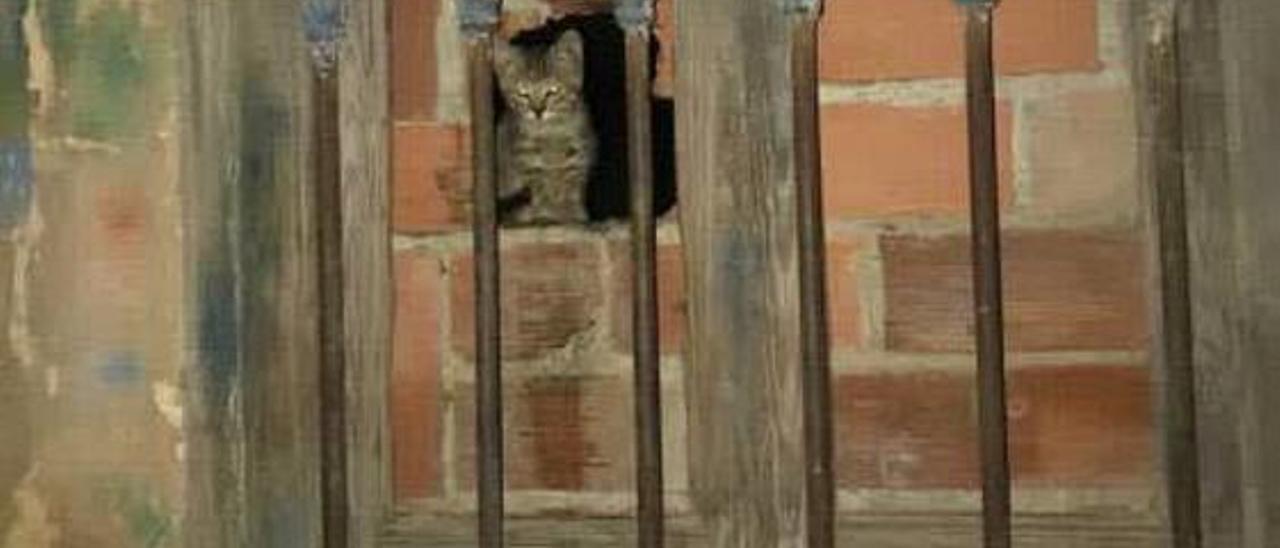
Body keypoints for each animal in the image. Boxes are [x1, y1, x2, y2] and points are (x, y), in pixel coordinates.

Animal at [491, 30, 591, 225]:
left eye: (552, 91)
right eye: (523, 93)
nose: (538, 111)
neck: (550, 131)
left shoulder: (579, 150)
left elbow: (572, 179)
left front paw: (571, 209)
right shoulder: (526, 154)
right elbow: (538, 182)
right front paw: (546, 210)